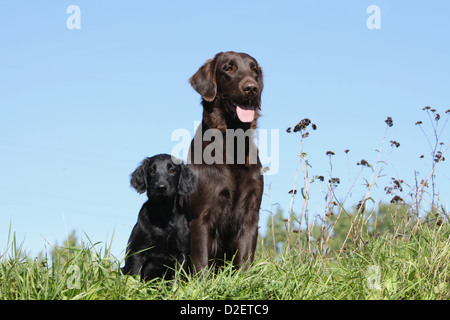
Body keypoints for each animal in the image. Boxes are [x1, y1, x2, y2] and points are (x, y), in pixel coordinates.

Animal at [121, 154, 197, 282]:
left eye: (172, 170)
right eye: (151, 171)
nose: (161, 187)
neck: (163, 216)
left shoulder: (181, 254)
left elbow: (177, 279)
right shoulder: (137, 252)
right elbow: (135, 276)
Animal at [186, 52, 264, 272]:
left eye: (254, 70)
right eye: (228, 68)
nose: (252, 88)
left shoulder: (251, 213)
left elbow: (245, 258)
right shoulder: (202, 216)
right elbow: (201, 262)